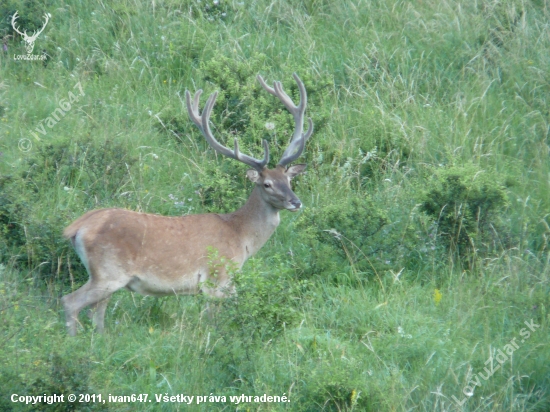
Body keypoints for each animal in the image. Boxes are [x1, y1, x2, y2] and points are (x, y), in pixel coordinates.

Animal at [60, 73, 314, 334]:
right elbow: (214, 322)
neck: (240, 237)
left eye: (289, 180)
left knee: (96, 311)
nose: (296, 202)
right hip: (108, 272)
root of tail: (77, 227)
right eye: (267, 184)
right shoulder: (217, 279)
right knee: (70, 302)